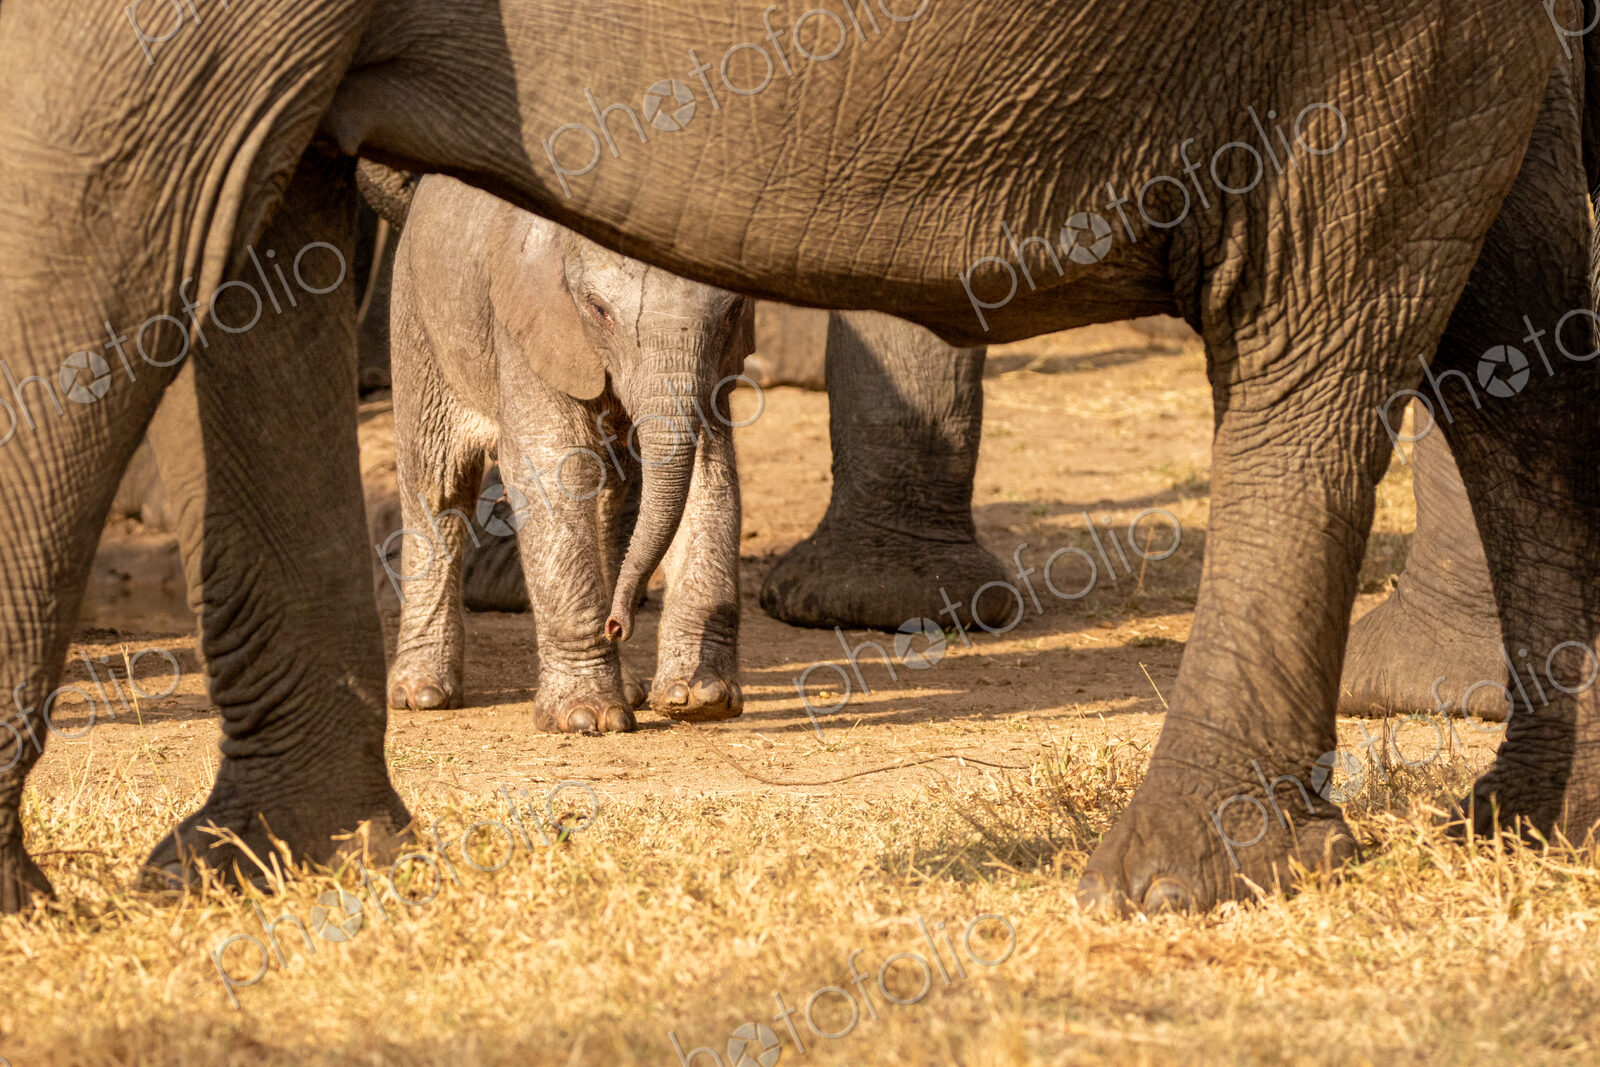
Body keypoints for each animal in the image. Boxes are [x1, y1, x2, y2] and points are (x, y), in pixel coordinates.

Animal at [385, 173, 749, 730]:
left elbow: (711, 471)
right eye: (599, 310)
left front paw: (699, 699)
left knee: (606, 497)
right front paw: (587, 720)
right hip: (418, 315)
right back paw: (422, 695)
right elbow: (547, 467)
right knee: (438, 480)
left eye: (734, 312)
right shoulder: (528, 322)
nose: (618, 625)